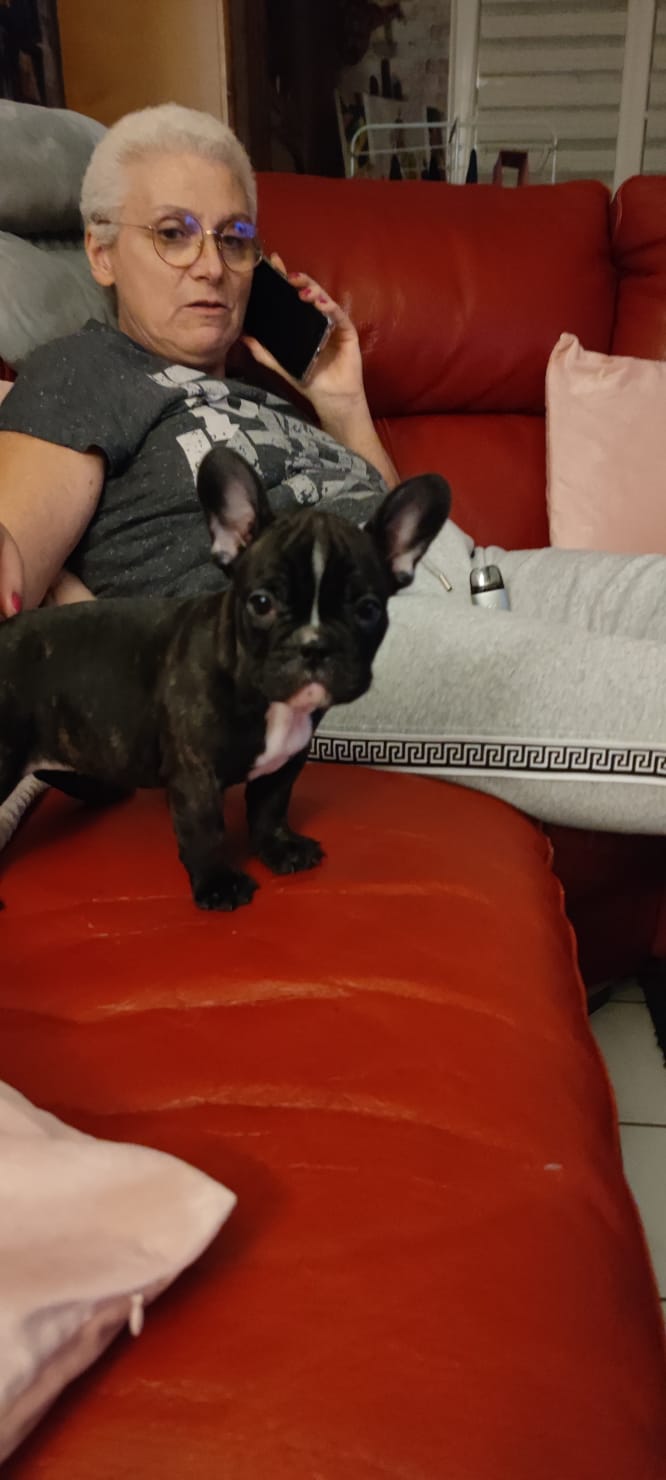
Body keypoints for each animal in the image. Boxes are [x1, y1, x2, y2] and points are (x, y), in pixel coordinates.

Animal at [0, 447, 450, 911]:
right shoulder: (195, 775)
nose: (314, 645)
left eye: (368, 610)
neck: (265, 697)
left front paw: (279, 849)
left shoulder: (285, 763)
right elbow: (205, 830)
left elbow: (270, 808)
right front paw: (217, 883)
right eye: (262, 603)